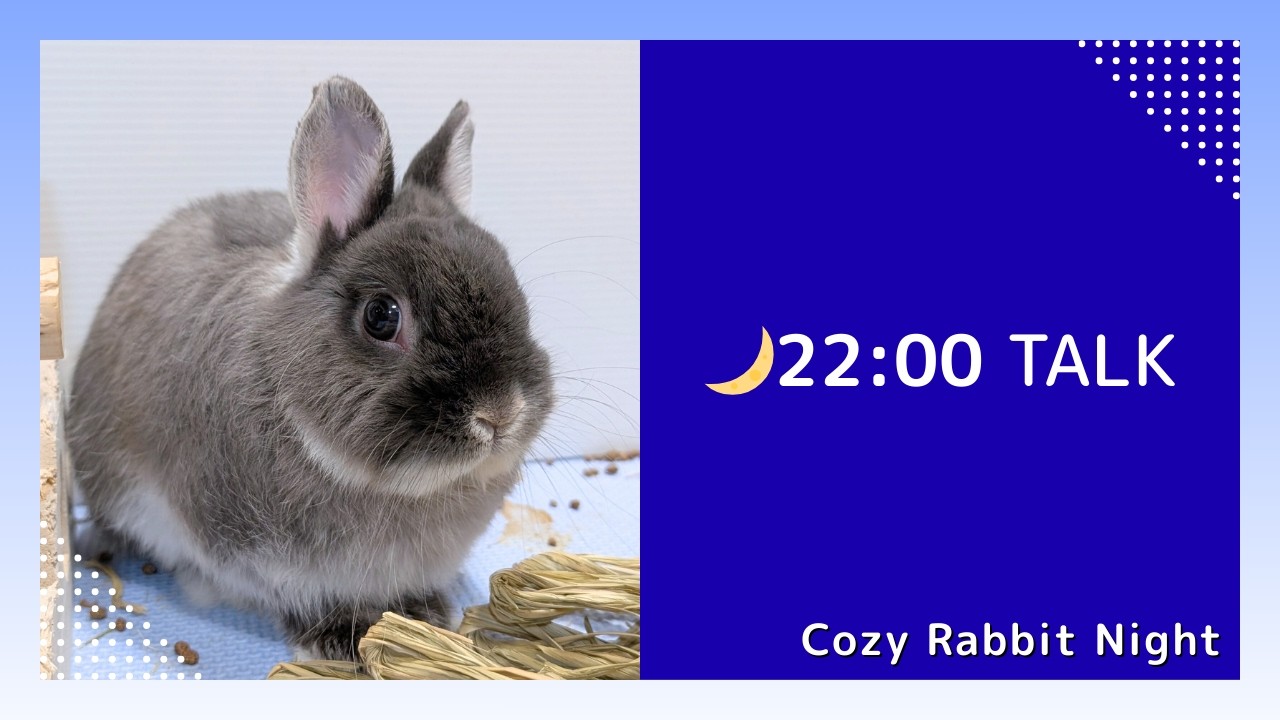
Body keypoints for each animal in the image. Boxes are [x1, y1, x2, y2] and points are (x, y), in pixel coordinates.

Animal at [65, 76, 554, 661]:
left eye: (514, 287)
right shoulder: (250, 554)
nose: (500, 414)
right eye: (381, 316)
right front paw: (341, 637)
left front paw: (425, 610)